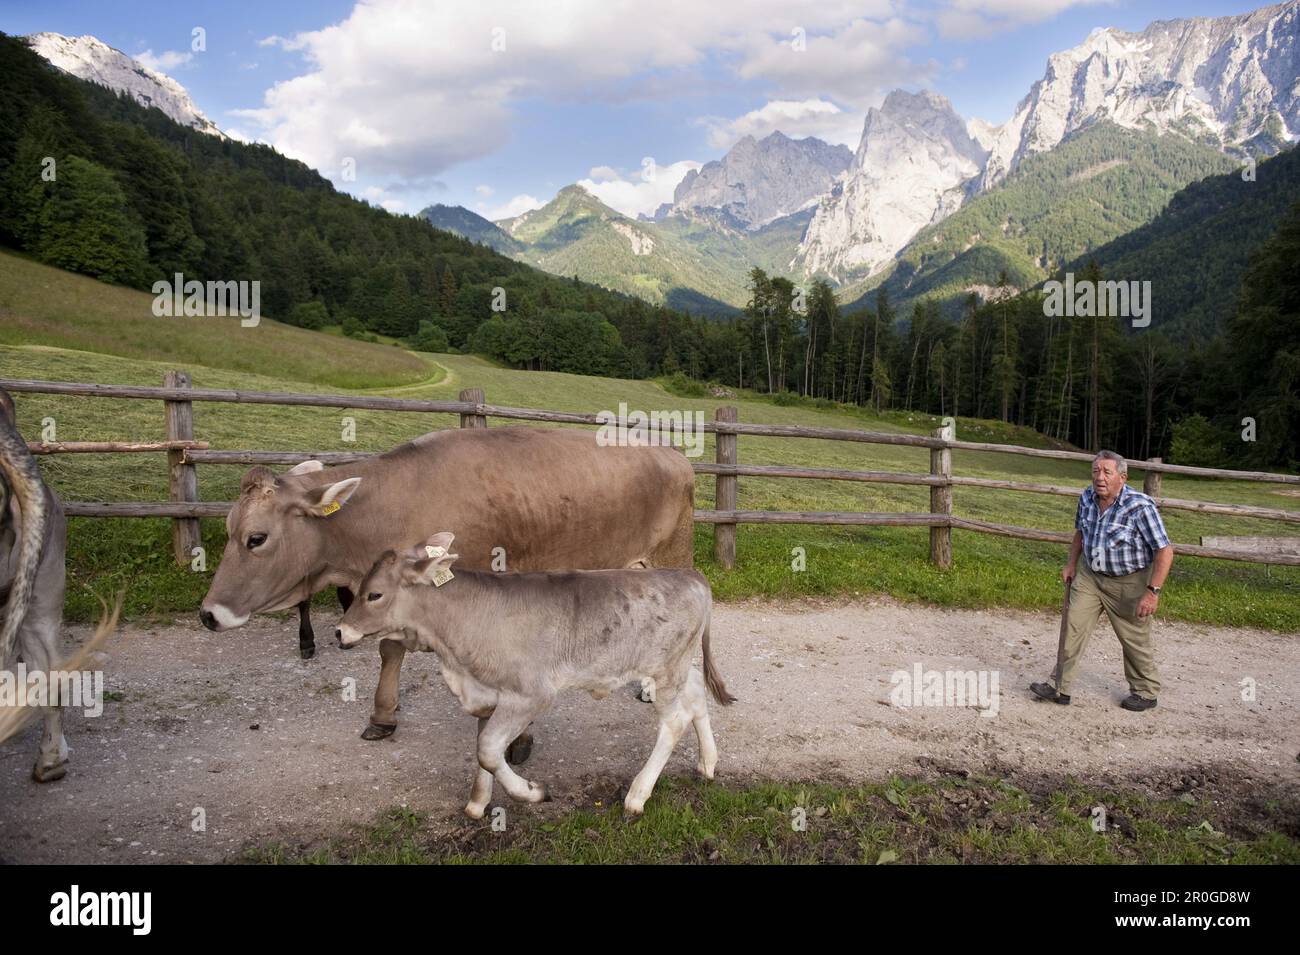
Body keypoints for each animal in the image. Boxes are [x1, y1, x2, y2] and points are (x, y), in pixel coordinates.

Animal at [199, 426, 696, 758]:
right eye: (228, 529)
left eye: (256, 538)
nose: (208, 614)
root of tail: (672, 454)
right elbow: (390, 649)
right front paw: (383, 716)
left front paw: (517, 736)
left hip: (673, 555)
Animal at [336, 532, 735, 816]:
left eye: (374, 594)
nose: (340, 632)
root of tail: (690, 575)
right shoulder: (488, 696)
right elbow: (484, 750)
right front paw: (477, 804)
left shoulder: (530, 693)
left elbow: (487, 749)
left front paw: (531, 792)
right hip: (676, 665)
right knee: (696, 694)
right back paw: (707, 763)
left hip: (665, 670)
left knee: (674, 721)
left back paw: (637, 795)